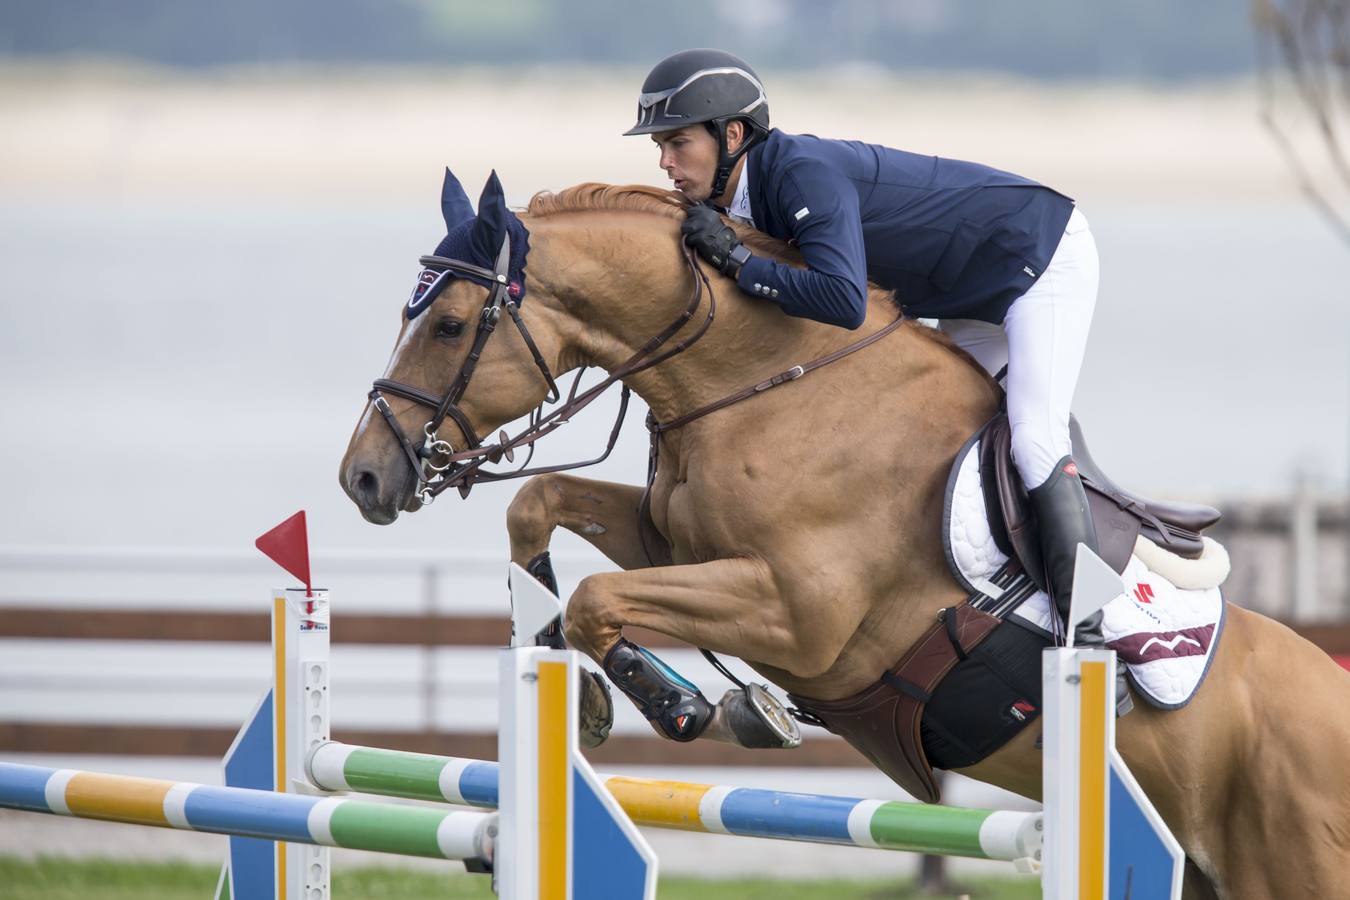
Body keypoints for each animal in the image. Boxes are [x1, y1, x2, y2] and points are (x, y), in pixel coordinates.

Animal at [340, 172, 1350, 895]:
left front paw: (691, 705)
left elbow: (598, 598)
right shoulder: (680, 545)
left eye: (450, 323)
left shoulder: (801, 618)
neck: (770, 382)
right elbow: (540, 510)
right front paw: (564, 656)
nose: (363, 477)